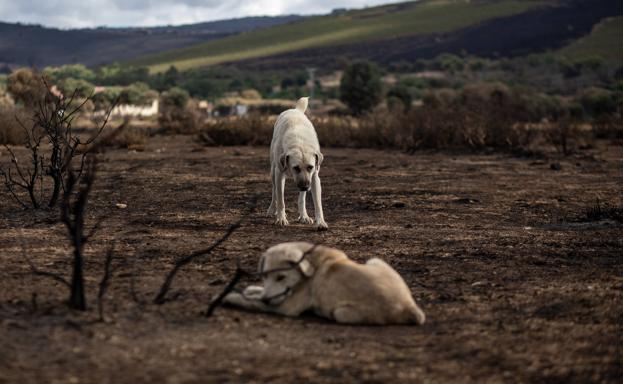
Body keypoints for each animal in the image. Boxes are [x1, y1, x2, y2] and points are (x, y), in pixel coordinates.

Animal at [223, 243, 424, 324]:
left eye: (281, 277)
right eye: (264, 276)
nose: (266, 299)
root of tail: (410, 307)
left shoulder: (286, 307)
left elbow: (250, 302)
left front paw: (231, 296)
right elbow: (257, 293)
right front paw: (252, 289)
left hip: (341, 313)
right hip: (375, 260)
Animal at [266, 96, 330, 231]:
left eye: (310, 167)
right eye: (296, 168)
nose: (305, 187)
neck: (299, 143)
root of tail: (295, 110)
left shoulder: (314, 177)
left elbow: (318, 204)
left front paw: (320, 222)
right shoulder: (279, 173)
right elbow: (281, 200)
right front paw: (281, 218)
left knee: (302, 198)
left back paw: (304, 216)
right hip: (273, 171)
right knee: (275, 191)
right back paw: (272, 210)